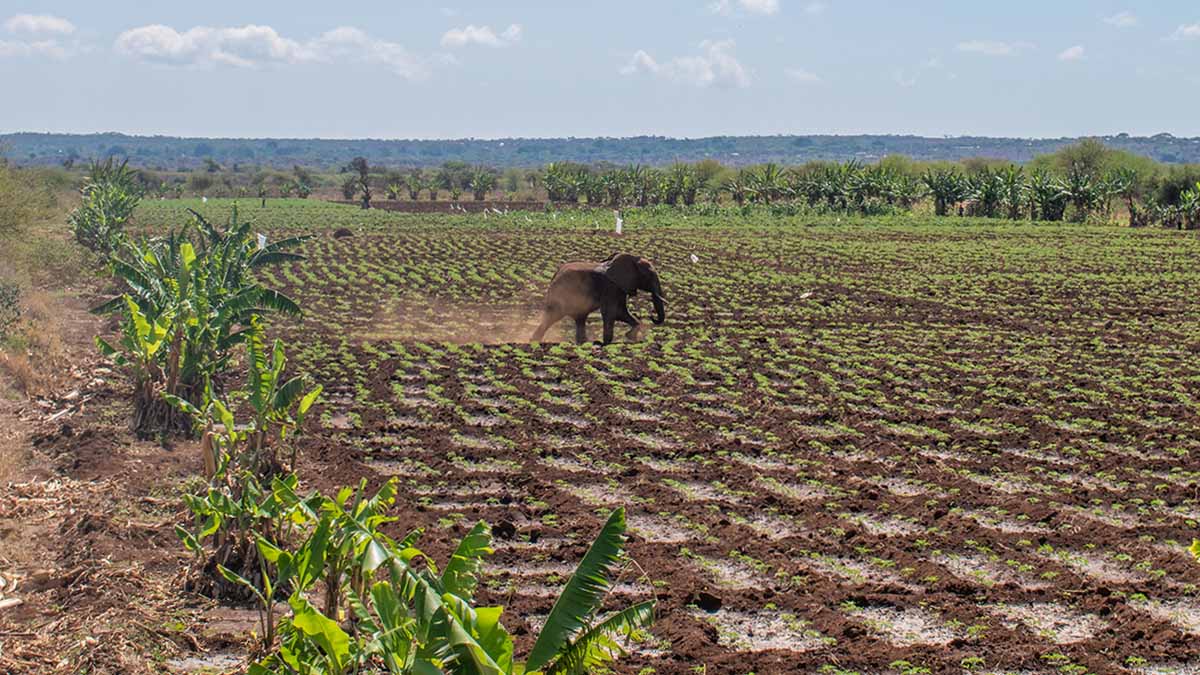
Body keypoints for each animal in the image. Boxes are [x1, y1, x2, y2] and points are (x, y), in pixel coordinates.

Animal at [532, 254, 667, 343]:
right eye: (649, 275)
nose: (651, 316)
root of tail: (555, 273)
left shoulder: (620, 287)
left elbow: (621, 312)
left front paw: (630, 337)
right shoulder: (611, 287)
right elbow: (612, 312)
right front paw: (606, 343)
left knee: (580, 317)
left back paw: (583, 343)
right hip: (561, 294)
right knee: (553, 316)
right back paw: (534, 341)